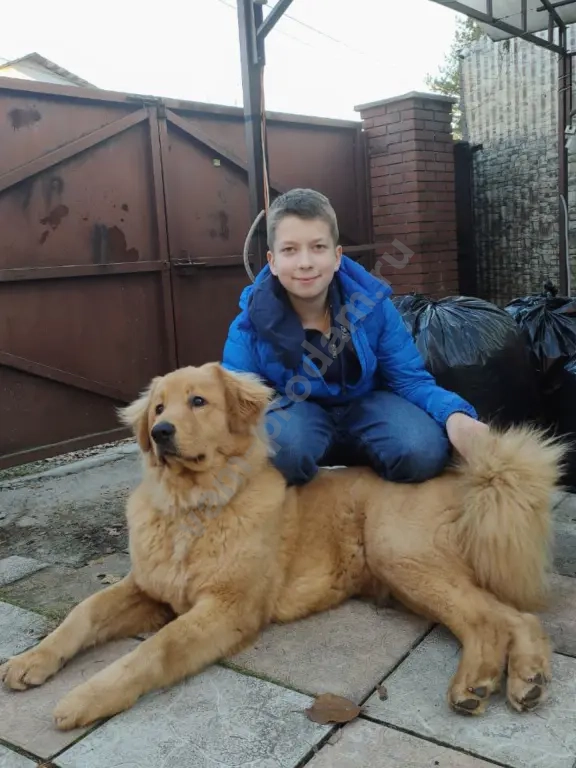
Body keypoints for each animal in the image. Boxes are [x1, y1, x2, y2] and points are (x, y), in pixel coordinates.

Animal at [0, 363, 564, 730]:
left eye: (198, 401)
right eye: (158, 406)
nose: (159, 431)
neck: (195, 505)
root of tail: (470, 477)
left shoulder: (228, 608)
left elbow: (154, 650)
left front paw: (84, 697)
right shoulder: (148, 588)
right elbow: (83, 613)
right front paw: (32, 660)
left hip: (402, 556)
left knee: (487, 620)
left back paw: (475, 684)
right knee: (515, 617)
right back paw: (527, 678)